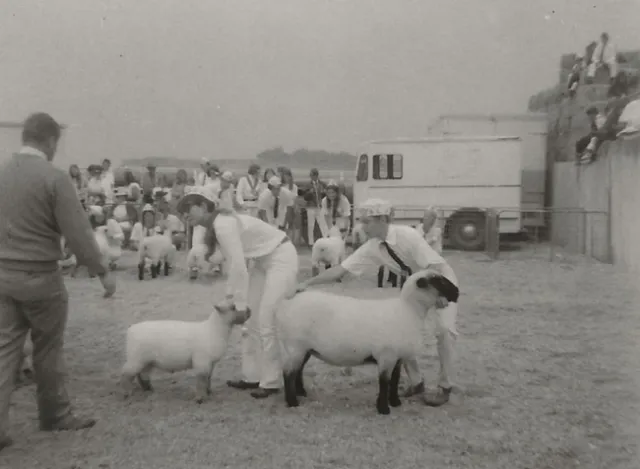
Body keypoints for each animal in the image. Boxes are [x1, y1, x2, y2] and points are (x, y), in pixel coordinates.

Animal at [120, 304, 251, 403]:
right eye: (233, 308)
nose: (249, 310)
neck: (214, 330)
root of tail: (130, 329)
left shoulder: (210, 363)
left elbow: (208, 378)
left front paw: (208, 392)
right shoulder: (201, 361)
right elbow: (201, 380)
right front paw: (200, 399)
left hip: (147, 361)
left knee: (142, 375)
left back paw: (149, 390)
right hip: (136, 358)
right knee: (126, 373)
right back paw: (127, 393)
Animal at [279, 269, 459, 415]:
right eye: (438, 281)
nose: (457, 292)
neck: (408, 310)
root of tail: (288, 302)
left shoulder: (398, 358)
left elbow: (395, 381)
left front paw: (395, 402)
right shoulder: (386, 356)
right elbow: (385, 382)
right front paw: (384, 409)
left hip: (305, 348)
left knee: (298, 370)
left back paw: (301, 393)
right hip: (295, 346)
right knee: (288, 373)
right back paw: (292, 402)